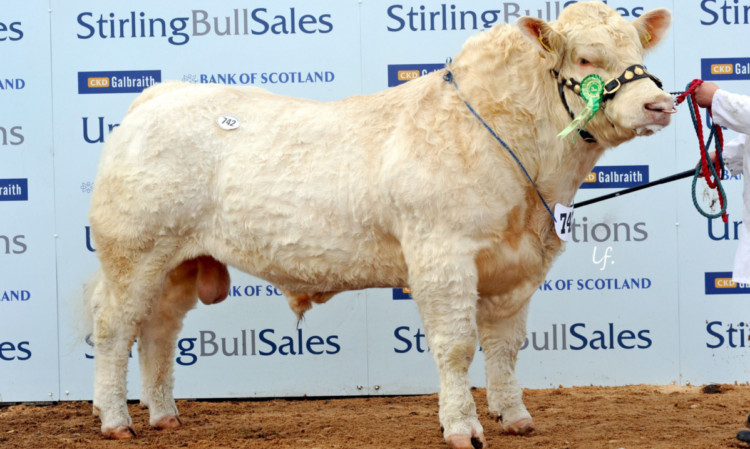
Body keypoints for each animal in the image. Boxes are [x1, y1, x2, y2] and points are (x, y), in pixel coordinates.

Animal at [86, 1, 676, 446]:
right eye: (587, 57)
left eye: (637, 50)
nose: (660, 104)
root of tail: (161, 95)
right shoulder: (442, 255)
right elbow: (457, 346)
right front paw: (462, 428)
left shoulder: (516, 267)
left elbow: (505, 347)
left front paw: (516, 418)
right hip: (133, 250)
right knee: (115, 329)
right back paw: (116, 421)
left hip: (178, 263)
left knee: (159, 332)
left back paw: (165, 415)